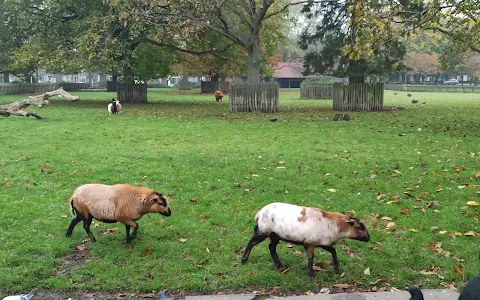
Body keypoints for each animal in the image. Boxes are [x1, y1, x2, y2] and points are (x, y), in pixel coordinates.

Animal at [240, 202, 372, 276]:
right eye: (359, 227)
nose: (368, 238)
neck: (335, 225)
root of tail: (259, 213)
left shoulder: (322, 242)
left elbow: (333, 251)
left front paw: (337, 269)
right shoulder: (310, 242)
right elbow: (310, 257)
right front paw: (311, 273)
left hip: (275, 234)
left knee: (271, 247)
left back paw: (279, 265)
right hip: (264, 230)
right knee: (251, 243)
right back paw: (243, 260)